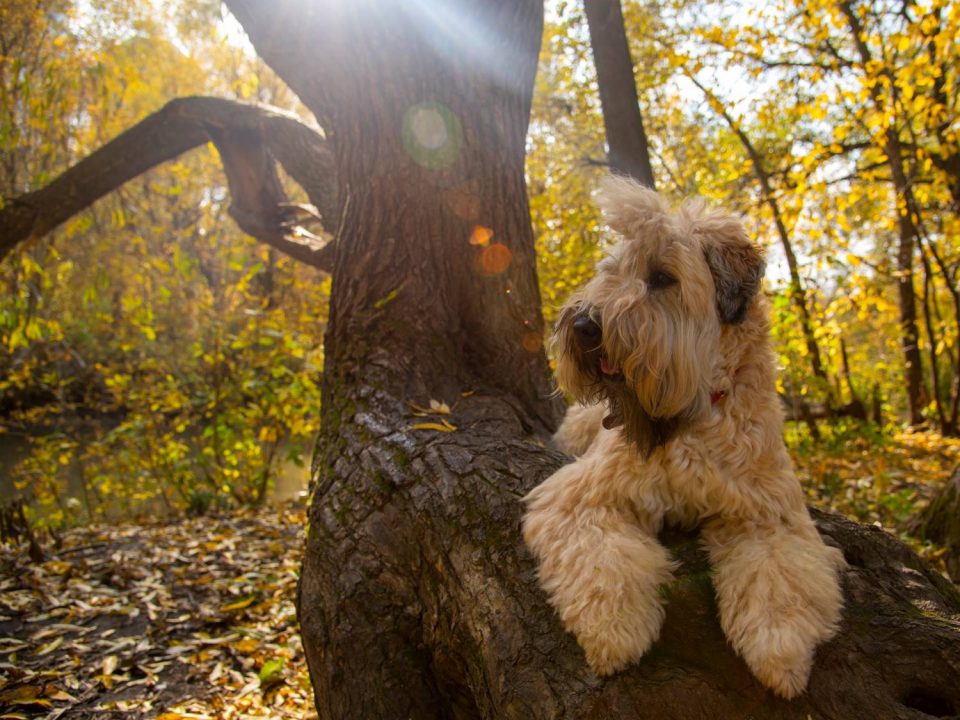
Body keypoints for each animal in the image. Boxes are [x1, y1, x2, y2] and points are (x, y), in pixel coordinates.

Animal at [520, 177, 844, 700]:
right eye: (612, 271)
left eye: (662, 277)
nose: (585, 325)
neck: (695, 414)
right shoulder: (584, 495)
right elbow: (602, 562)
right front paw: (613, 633)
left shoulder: (767, 513)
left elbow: (779, 576)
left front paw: (782, 652)